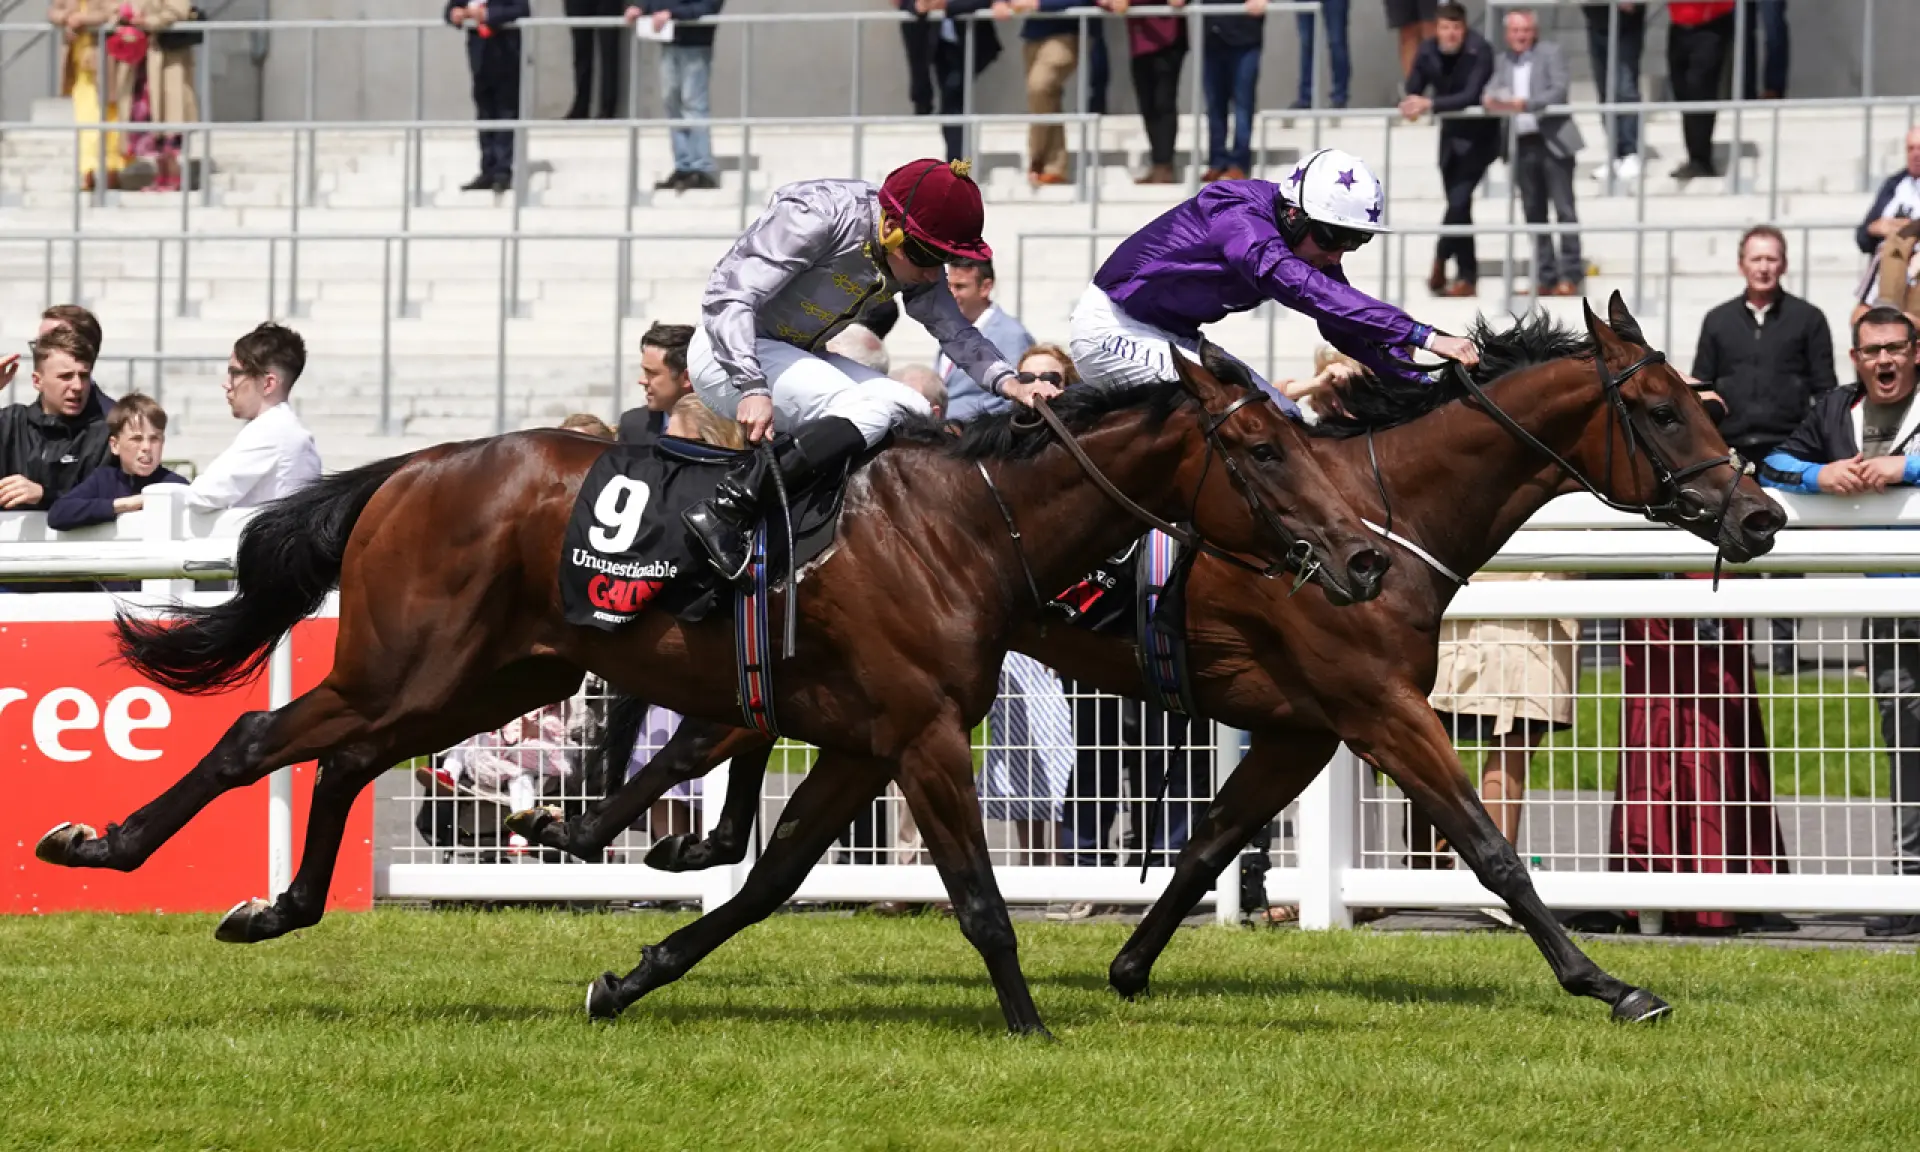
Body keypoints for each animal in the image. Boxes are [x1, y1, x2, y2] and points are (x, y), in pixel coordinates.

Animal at [37, 343, 1390, 1036]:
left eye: (1304, 433)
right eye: (1260, 446)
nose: (1366, 558)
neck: (966, 524)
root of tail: (413, 465)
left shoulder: (863, 741)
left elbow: (772, 879)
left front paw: (627, 974)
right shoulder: (919, 737)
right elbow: (978, 901)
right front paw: (1032, 1029)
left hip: (480, 679)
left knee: (343, 756)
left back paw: (282, 907)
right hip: (411, 663)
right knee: (263, 734)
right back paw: (104, 846)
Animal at [526, 297, 1781, 1029]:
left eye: (1708, 398)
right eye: (1663, 409)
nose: (1760, 515)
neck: (1384, 509)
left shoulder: (1302, 723)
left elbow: (1211, 838)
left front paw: (1130, 965)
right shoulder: (1373, 705)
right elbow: (1487, 847)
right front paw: (1608, 983)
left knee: (724, 737)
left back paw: (632, 841)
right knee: (717, 733)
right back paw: (609, 833)